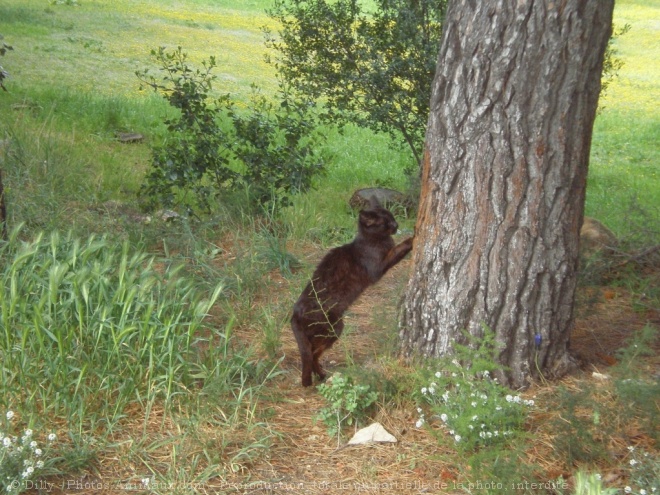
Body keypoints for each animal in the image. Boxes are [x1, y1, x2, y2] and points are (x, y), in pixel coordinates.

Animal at [290, 197, 412, 388]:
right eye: (385, 222)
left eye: (392, 216)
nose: (396, 225)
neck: (369, 240)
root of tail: (295, 313)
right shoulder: (379, 267)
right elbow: (398, 248)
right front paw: (413, 238)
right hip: (334, 328)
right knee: (313, 354)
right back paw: (320, 375)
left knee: (312, 354)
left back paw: (321, 375)